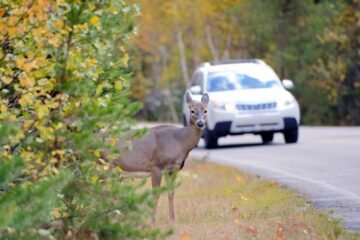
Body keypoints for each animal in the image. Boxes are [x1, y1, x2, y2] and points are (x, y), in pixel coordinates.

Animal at [106, 92, 208, 223]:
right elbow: (156, 194)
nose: (200, 123)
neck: (179, 142)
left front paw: (172, 220)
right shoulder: (156, 166)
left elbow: (171, 192)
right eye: (192, 110)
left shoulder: (173, 168)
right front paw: (152, 221)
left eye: (205, 110)